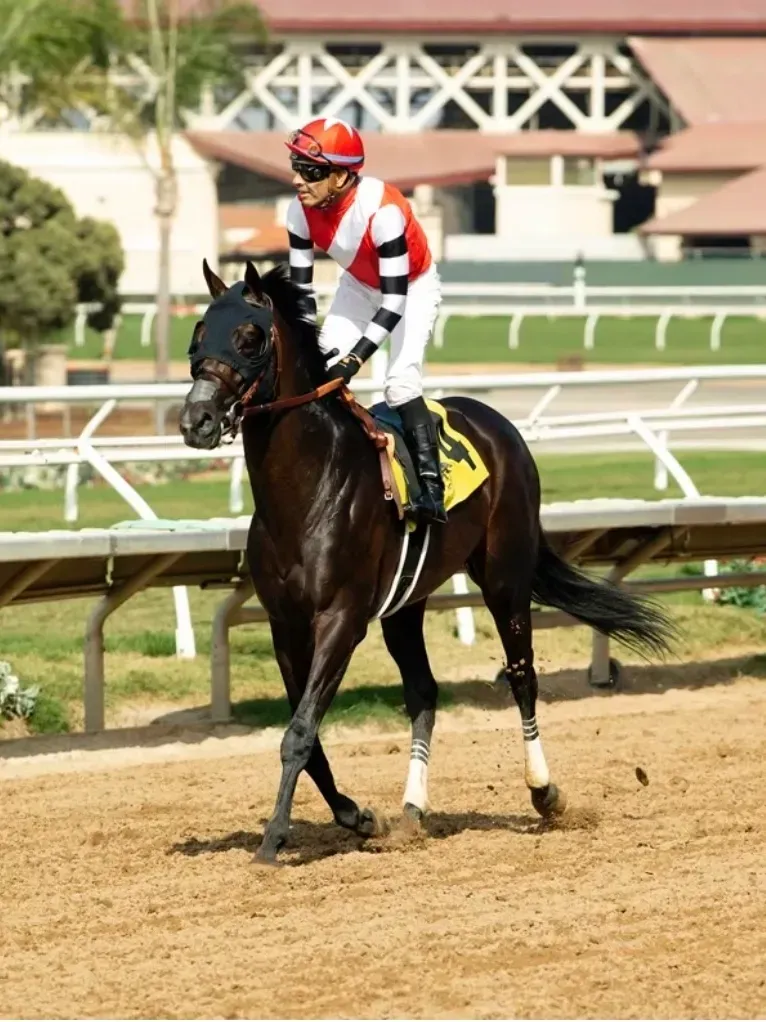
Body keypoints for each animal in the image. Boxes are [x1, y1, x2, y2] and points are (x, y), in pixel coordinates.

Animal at [180, 259, 674, 865]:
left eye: (249, 337)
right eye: (199, 333)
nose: (198, 419)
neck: (306, 489)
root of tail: (496, 422)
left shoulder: (341, 620)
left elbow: (299, 732)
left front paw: (273, 839)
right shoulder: (286, 624)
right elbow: (309, 733)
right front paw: (359, 816)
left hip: (505, 576)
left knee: (522, 676)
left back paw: (545, 792)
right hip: (404, 604)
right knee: (424, 690)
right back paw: (412, 810)